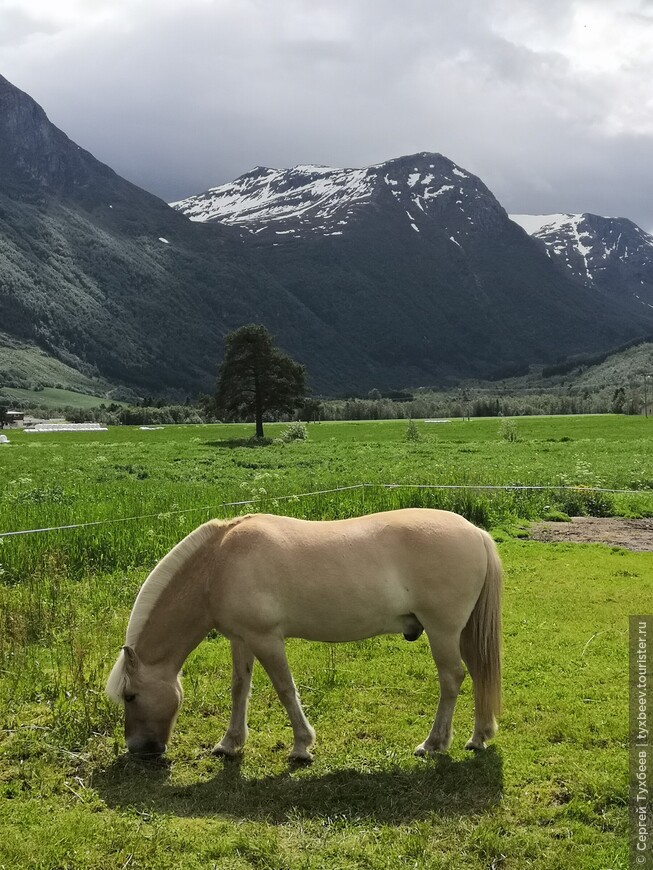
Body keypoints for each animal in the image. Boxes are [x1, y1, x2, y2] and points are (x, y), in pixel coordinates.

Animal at [104, 510, 502, 764]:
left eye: (131, 695)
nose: (138, 749)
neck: (219, 563)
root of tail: (476, 533)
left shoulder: (266, 639)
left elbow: (285, 689)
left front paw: (301, 747)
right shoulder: (241, 639)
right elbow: (239, 689)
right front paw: (229, 744)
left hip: (442, 631)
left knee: (452, 679)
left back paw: (433, 744)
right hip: (461, 633)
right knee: (478, 674)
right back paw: (478, 737)